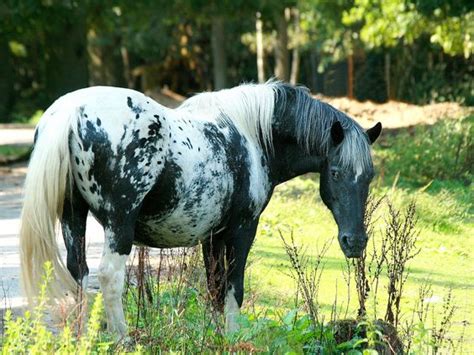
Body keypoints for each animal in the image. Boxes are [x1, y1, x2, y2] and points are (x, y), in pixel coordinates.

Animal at [20, 80, 382, 336]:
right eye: (335, 173)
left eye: (369, 176)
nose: (355, 242)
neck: (253, 135)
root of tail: (71, 111)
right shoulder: (242, 229)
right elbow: (234, 288)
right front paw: (233, 338)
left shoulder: (212, 237)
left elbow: (215, 289)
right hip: (119, 224)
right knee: (109, 276)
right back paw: (123, 338)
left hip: (72, 216)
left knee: (78, 272)